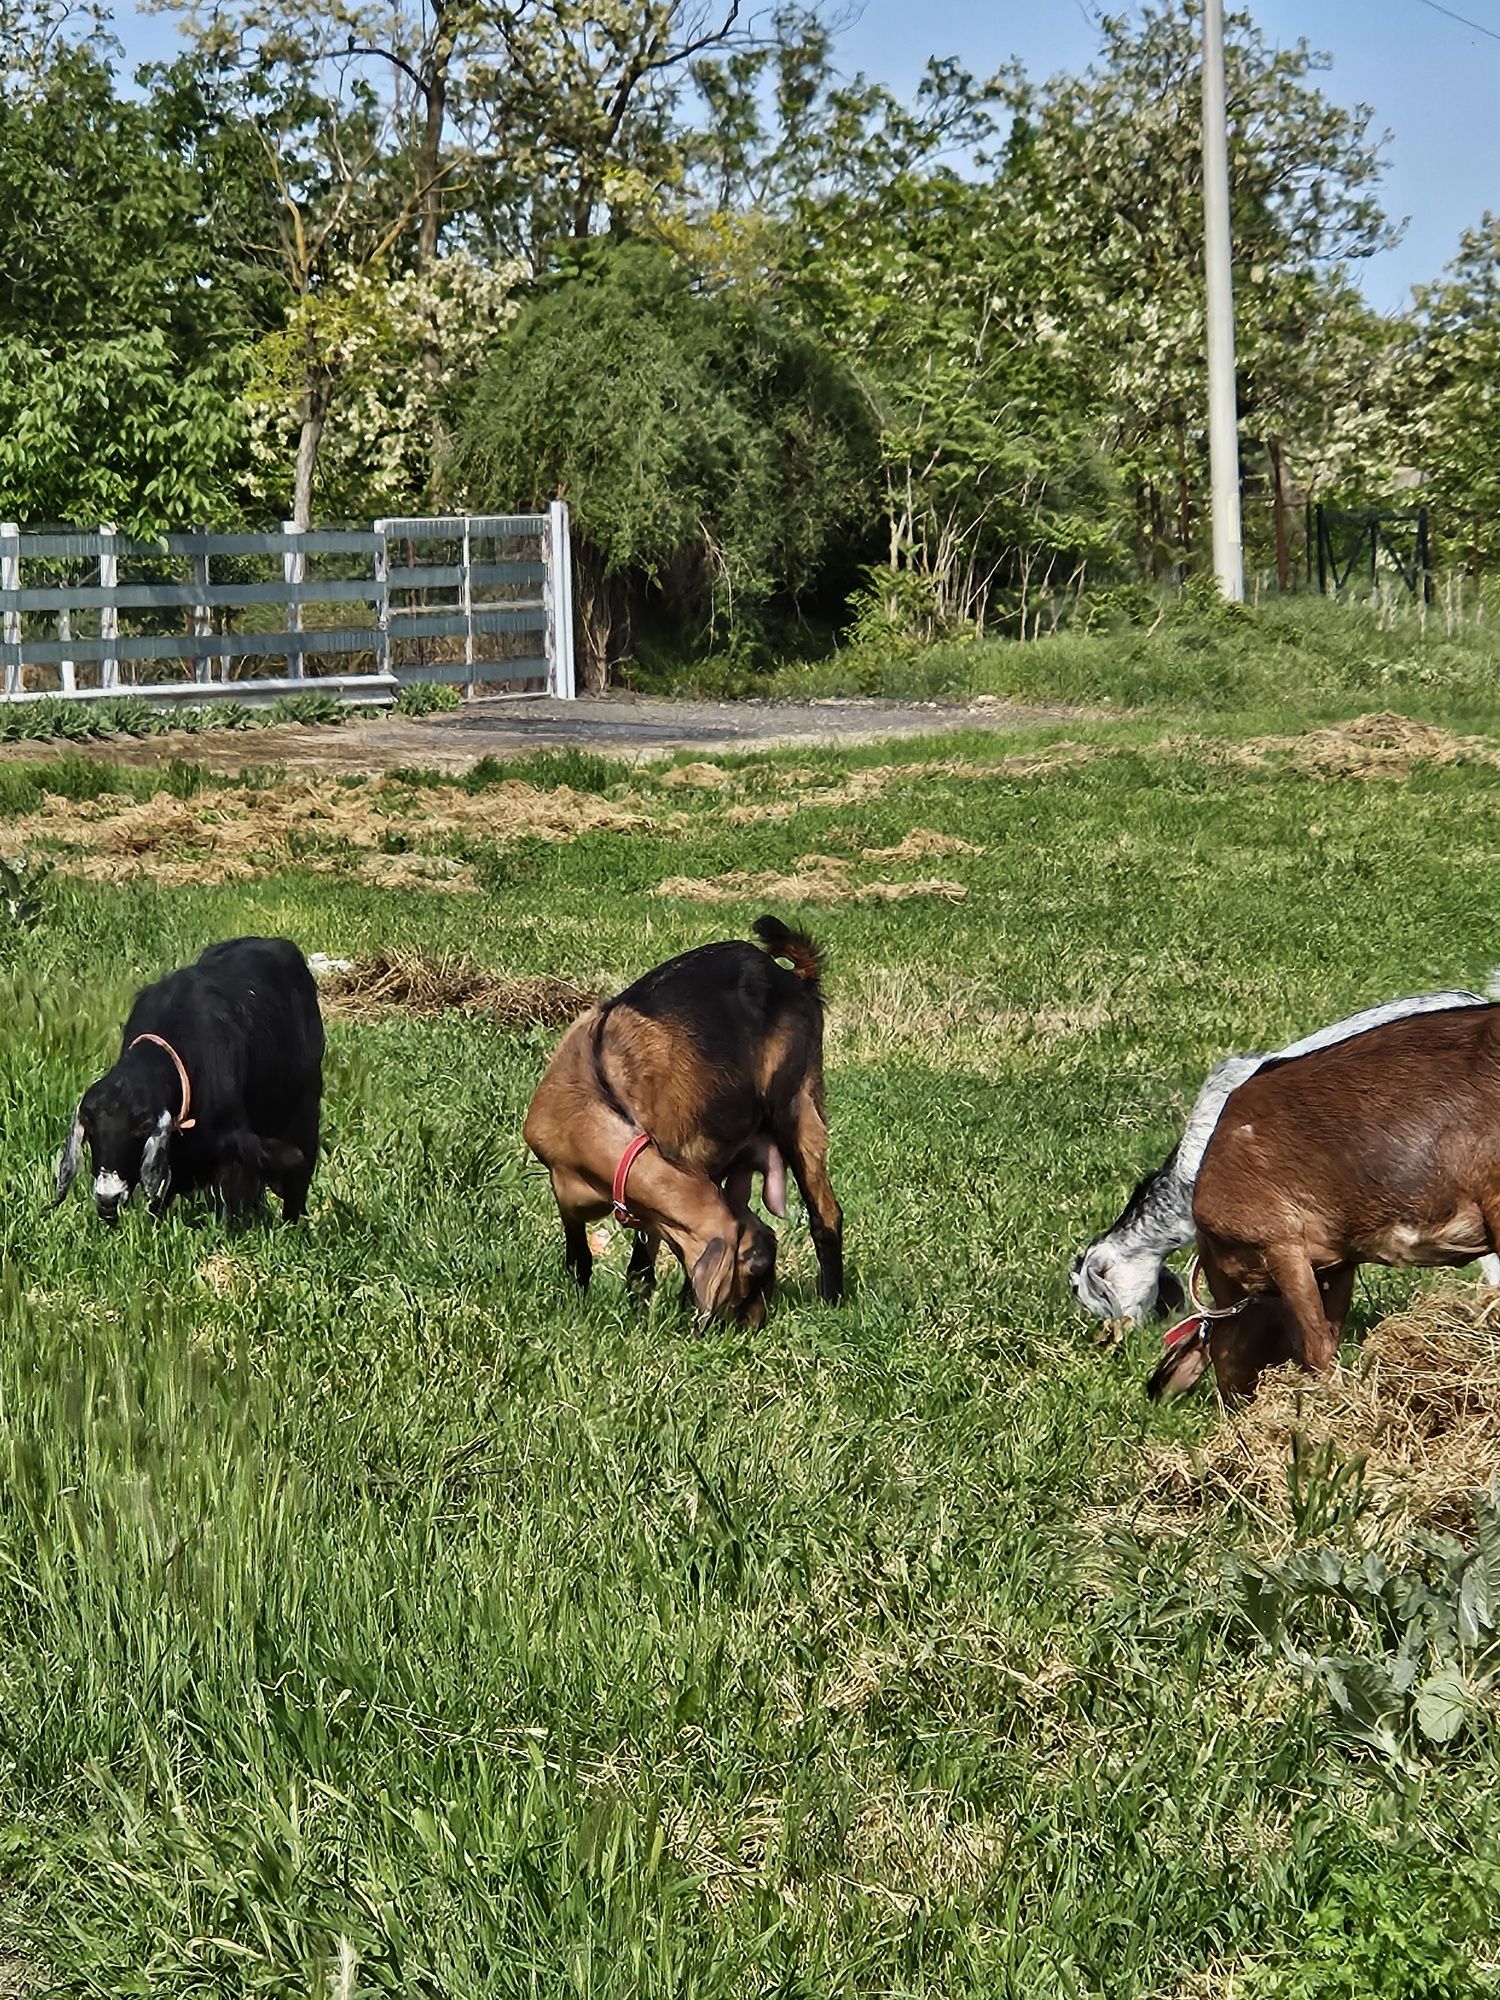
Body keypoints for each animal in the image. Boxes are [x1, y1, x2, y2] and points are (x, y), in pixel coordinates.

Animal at [524, 916, 840, 1328]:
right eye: (754, 1269)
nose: (752, 1328)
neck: (591, 1102)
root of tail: (794, 978)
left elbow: (641, 1265)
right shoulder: (569, 1194)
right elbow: (580, 1260)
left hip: (797, 1104)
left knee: (826, 1213)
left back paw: (834, 1301)